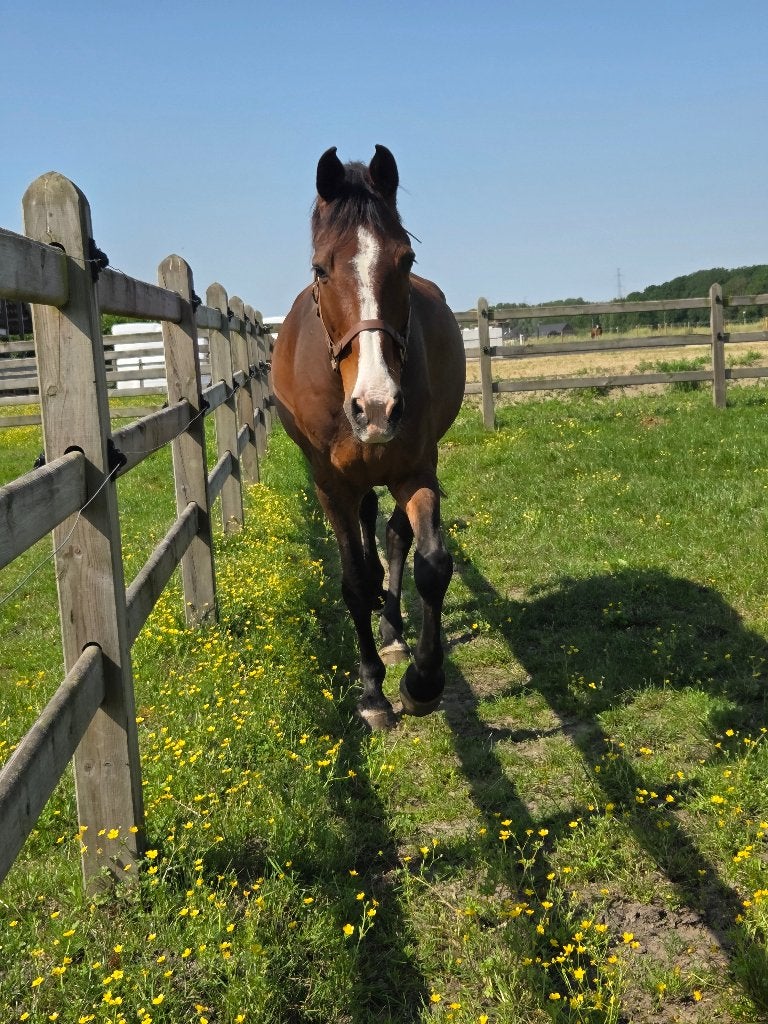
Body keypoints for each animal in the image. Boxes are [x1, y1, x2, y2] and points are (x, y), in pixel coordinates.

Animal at [272, 145, 466, 729]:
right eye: (321, 268)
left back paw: (394, 632)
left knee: (396, 537)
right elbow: (354, 579)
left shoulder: (416, 470)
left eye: (406, 261)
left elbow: (431, 564)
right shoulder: (330, 486)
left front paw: (422, 682)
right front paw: (372, 692)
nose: (377, 407)